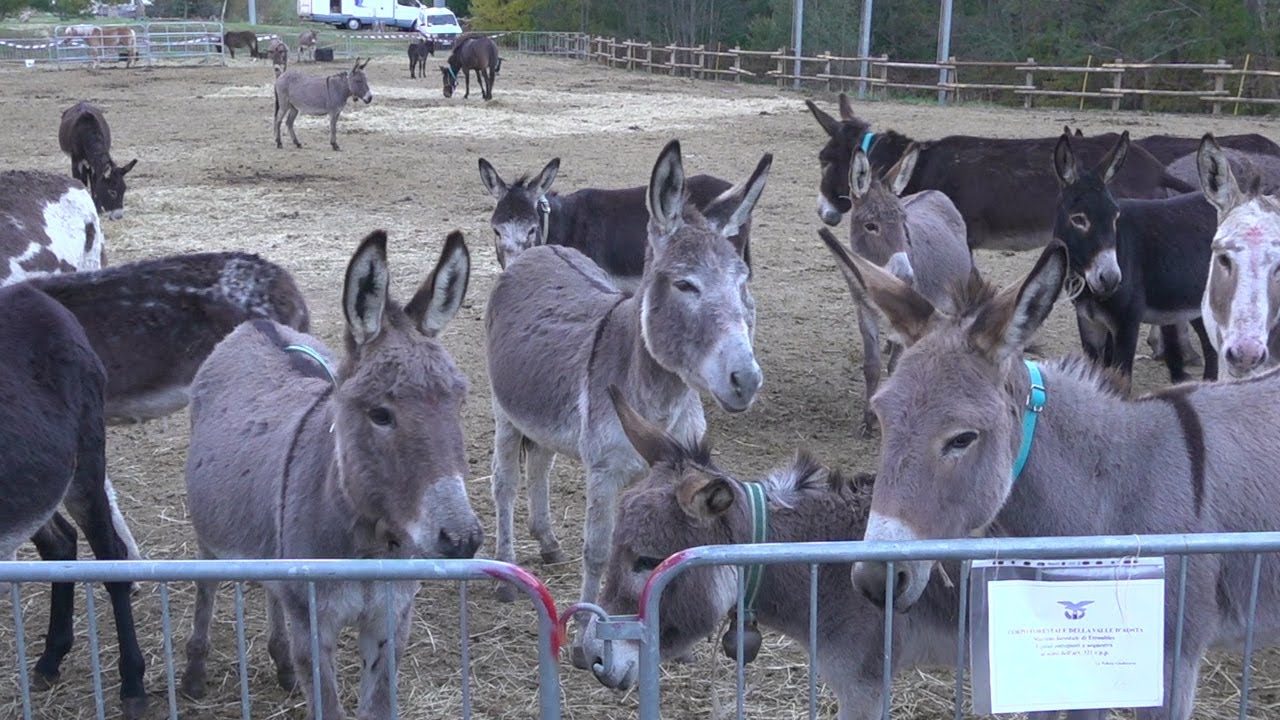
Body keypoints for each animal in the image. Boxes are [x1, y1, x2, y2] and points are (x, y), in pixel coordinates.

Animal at [0, 283, 146, 720]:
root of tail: (32, 295)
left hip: (85, 462)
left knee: (111, 556)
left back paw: (133, 686)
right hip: (38, 489)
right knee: (60, 543)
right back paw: (51, 659)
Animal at [179, 230, 483, 719]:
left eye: (460, 400)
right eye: (380, 415)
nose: (462, 540)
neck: (369, 545)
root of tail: (256, 325)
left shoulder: (390, 623)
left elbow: (378, 706)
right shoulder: (314, 628)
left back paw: (281, 665)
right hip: (210, 535)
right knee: (206, 585)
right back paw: (193, 673)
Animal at [821, 144, 972, 436]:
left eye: (904, 222)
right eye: (871, 226)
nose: (905, 276)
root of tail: (935, 192)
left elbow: (896, 367)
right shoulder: (863, 308)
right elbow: (872, 365)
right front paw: (867, 420)